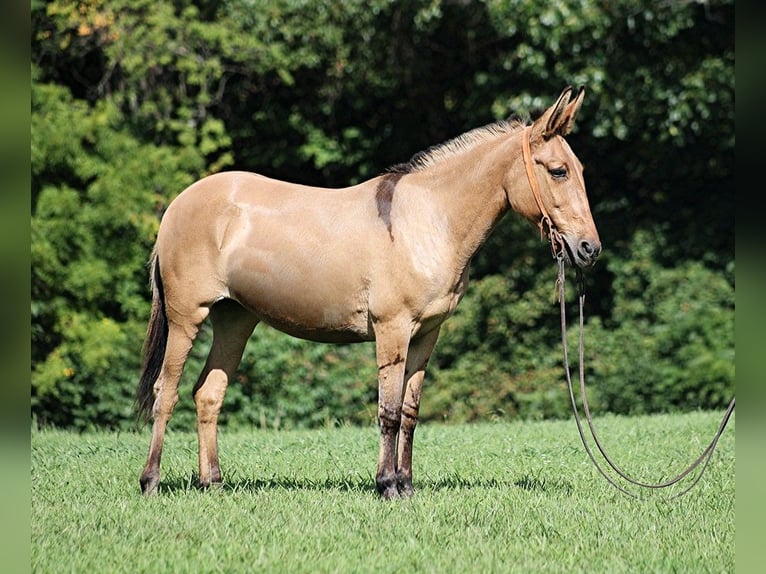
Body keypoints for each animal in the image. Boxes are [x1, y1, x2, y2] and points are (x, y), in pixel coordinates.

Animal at [136, 84, 608, 500]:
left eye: (582, 170)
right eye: (558, 171)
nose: (589, 248)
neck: (427, 220)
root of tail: (177, 206)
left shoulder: (426, 335)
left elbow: (411, 412)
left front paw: (407, 485)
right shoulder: (392, 330)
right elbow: (389, 411)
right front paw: (387, 486)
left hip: (235, 319)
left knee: (208, 394)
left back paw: (212, 484)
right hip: (187, 317)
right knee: (167, 393)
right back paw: (151, 482)